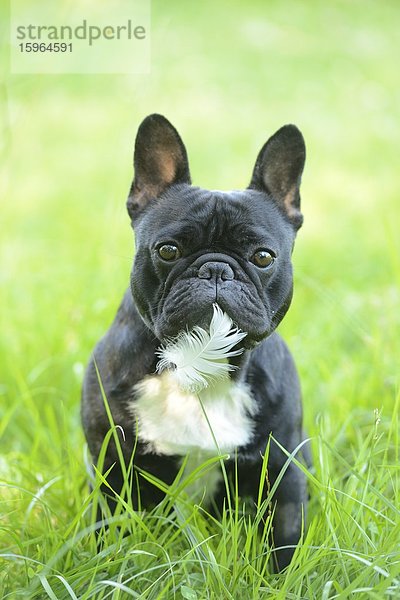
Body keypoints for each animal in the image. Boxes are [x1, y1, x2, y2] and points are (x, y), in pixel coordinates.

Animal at [81, 113, 310, 572]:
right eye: (168, 250)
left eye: (263, 257)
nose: (217, 269)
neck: (199, 365)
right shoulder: (113, 468)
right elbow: (109, 532)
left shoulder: (282, 470)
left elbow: (284, 542)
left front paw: (280, 579)